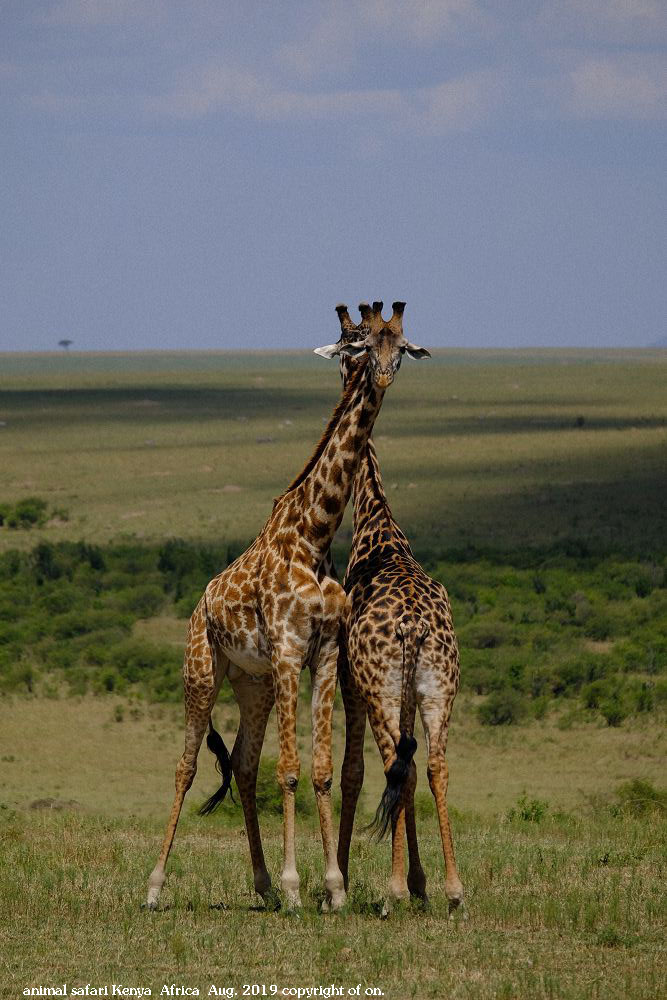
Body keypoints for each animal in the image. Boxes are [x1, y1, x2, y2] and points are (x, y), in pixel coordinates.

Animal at [145, 306, 428, 916]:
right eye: (358, 343)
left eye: (401, 345)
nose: (383, 375)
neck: (314, 533)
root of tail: (200, 604)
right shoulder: (287, 650)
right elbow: (292, 771)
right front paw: (302, 886)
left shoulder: (321, 655)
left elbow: (318, 772)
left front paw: (333, 888)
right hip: (202, 672)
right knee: (186, 766)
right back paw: (155, 887)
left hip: (252, 684)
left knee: (244, 766)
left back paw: (263, 885)